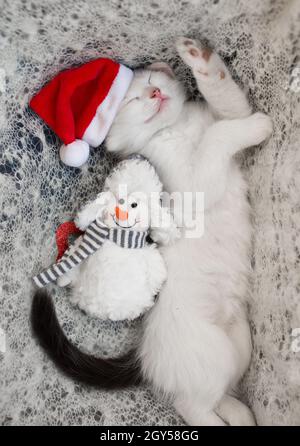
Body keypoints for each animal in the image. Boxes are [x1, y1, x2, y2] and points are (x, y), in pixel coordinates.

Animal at [106, 39, 274, 426]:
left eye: (151, 81)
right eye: (130, 101)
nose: (154, 93)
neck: (179, 126)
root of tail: (150, 361)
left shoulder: (224, 112)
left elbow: (231, 105)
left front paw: (200, 58)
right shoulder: (186, 183)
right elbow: (217, 136)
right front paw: (258, 125)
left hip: (238, 343)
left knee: (221, 390)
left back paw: (241, 414)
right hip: (208, 352)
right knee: (192, 405)